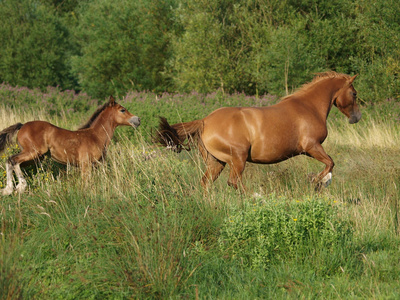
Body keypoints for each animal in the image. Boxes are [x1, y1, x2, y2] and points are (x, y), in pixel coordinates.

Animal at [157, 71, 362, 191]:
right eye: (354, 93)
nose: (357, 117)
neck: (308, 106)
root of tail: (205, 121)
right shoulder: (312, 146)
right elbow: (330, 163)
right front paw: (318, 181)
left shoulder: (311, 149)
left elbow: (330, 164)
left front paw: (320, 181)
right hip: (237, 159)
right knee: (234, 182)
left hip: (216, 162)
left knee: (206, 183)